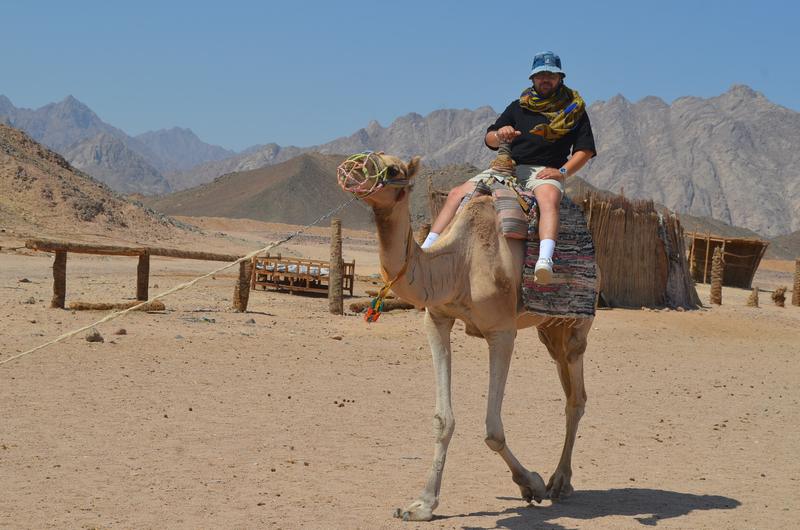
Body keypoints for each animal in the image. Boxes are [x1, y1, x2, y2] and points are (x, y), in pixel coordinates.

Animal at [339, 153, 592, 521]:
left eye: (393, 169)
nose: (352, 169)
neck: (461, 260)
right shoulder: (437, 319)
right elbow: (442, 420)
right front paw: (422, 504)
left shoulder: (502, 332)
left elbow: (492, 429)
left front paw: (531, 483)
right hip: (548, 329)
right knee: (569, 385)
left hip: (575, 325)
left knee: (576, 397)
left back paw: (559, 482)